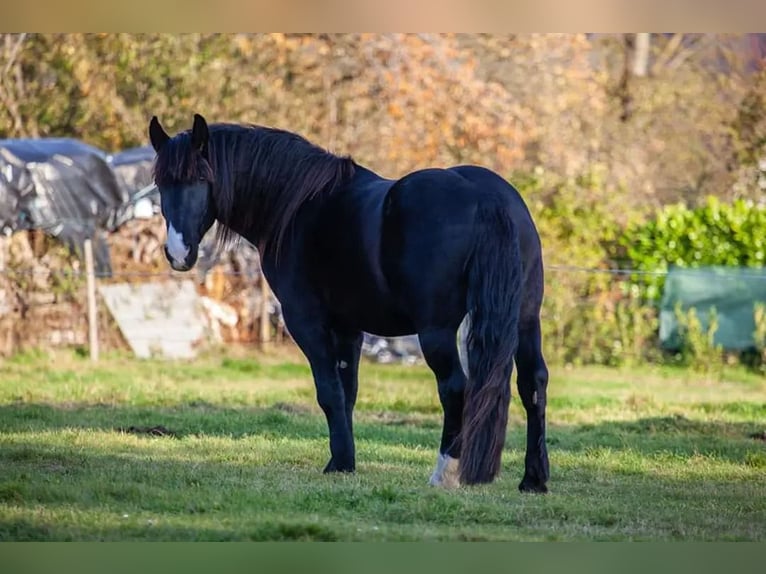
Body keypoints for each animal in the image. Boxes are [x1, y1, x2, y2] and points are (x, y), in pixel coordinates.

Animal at [148, 113, 550, 493]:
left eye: (202, 179)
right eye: (162, 184)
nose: (178, 254)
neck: (298, 206)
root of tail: (487, 198)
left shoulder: (307, 321)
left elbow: (329, 391)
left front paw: (339, 463)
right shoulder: (349, 328)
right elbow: (348, 392)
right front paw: (347, 459)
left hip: (436, 330)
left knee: (455, 387)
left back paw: (444, 474)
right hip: (525, 319)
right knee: (533, 383)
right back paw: (534, 479)